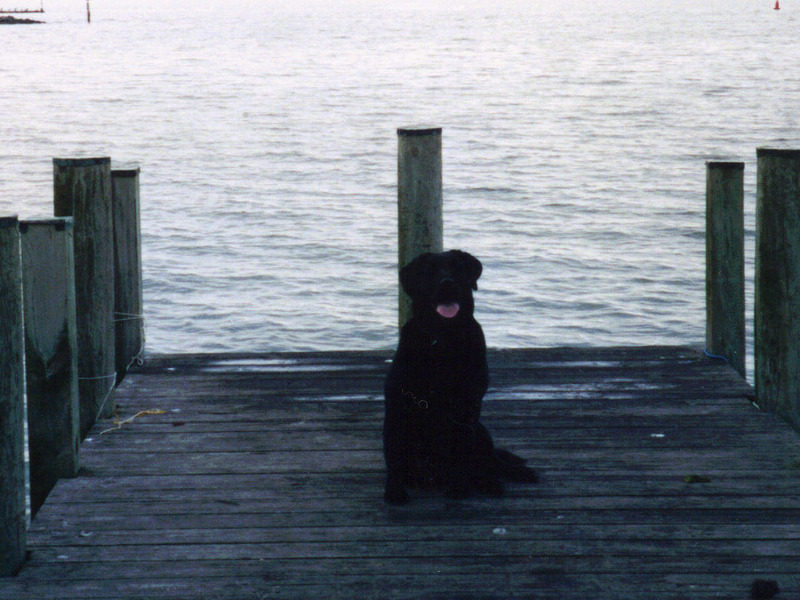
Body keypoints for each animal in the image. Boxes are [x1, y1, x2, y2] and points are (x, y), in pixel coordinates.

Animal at [382, 251, 536, 504]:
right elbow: (393, 455)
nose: (447, 284)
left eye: (457, 269)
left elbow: (462, 451)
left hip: (481, 432)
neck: (444, 338)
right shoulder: (398, 406)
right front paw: (394, 492)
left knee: (491, 461)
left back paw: (501, 478)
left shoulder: (468, 406)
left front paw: (458, 489)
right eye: (430, 271)